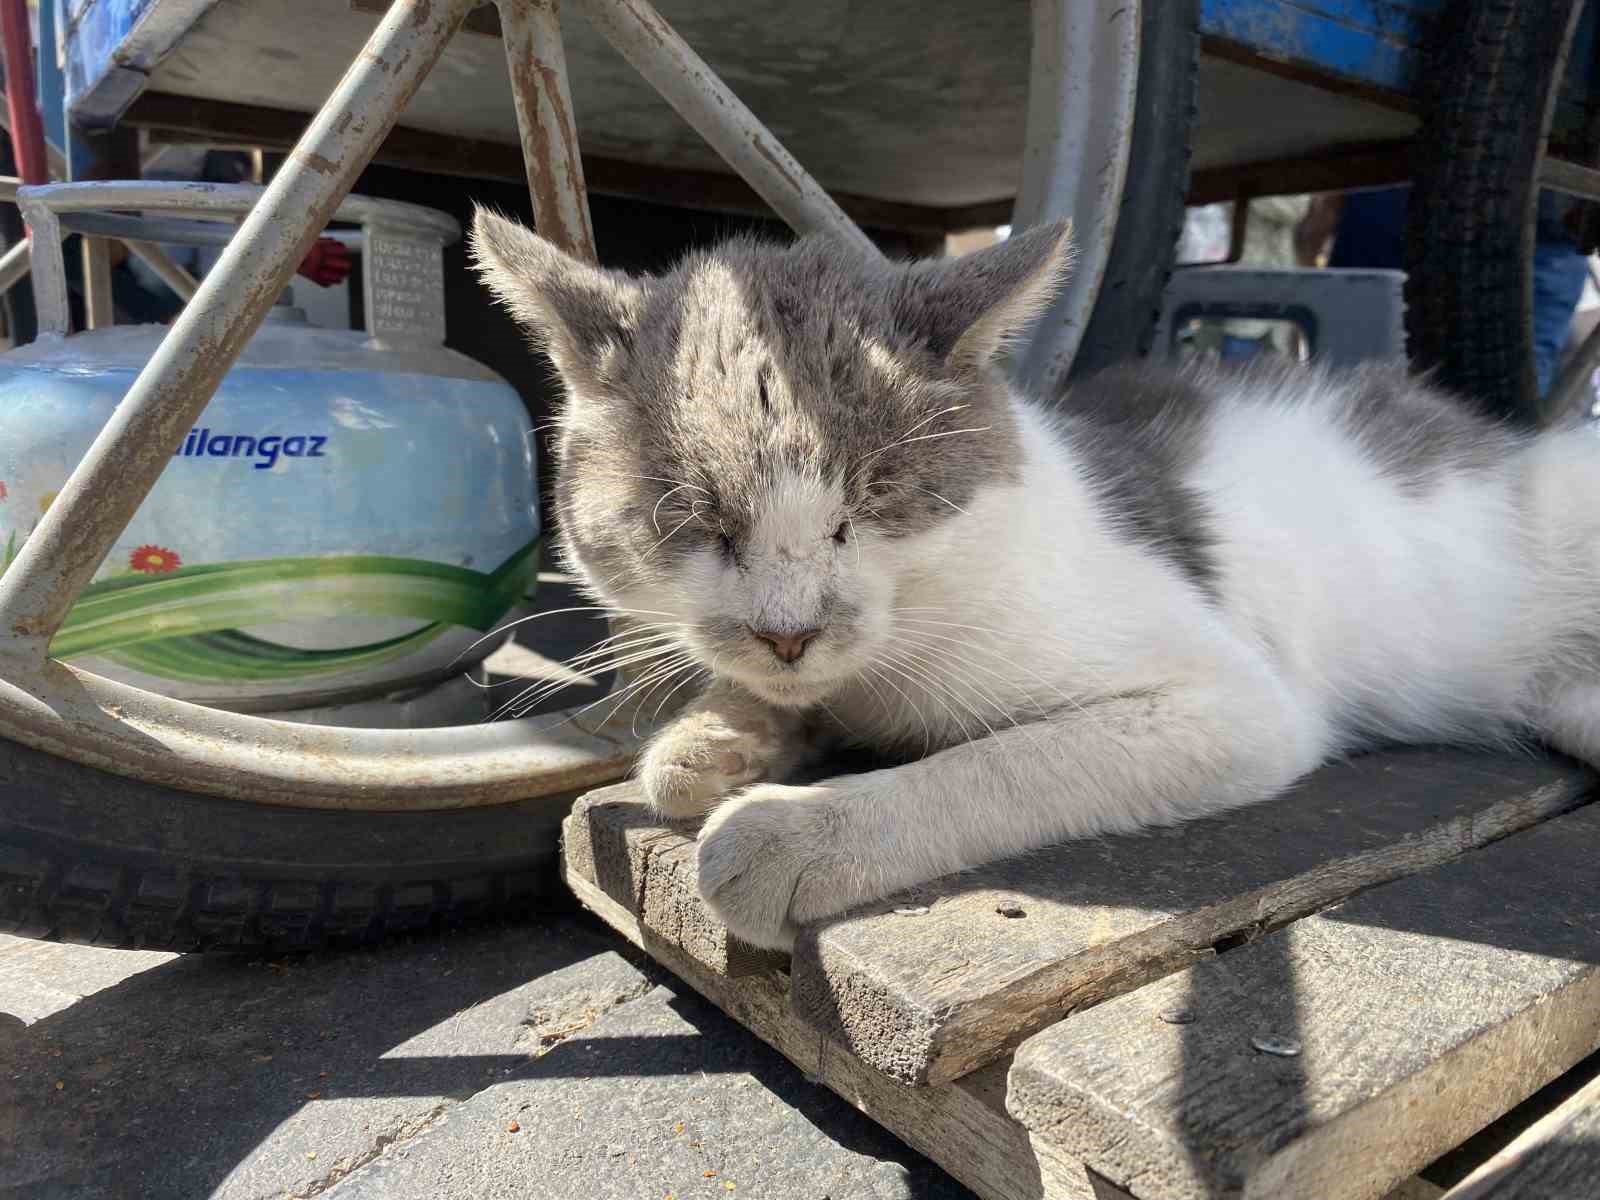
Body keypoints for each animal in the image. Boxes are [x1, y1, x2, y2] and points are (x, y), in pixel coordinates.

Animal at [467, 211, 1600, 953]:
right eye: (694, 522)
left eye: (872, 506)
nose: (788, 631)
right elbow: (778, 704)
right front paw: (713, 737)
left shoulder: (1232, 702)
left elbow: (997, 765)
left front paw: (794, 829)